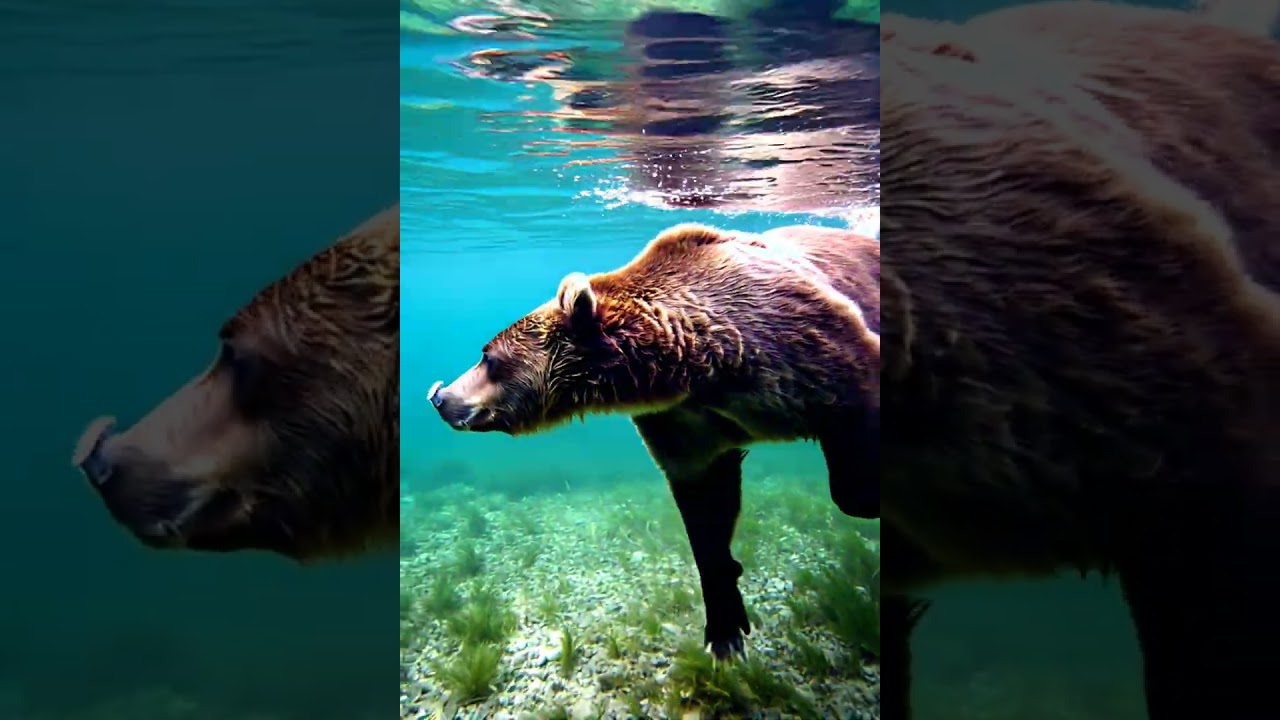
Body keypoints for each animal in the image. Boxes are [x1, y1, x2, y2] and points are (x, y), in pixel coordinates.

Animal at [429, 222, 880, 659]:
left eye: (487, 357)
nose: (439, 397)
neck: (689, 362)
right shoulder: (682, 421)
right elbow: (705, 505)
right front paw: (725, 626)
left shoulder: (799, 351)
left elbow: (854, 468)